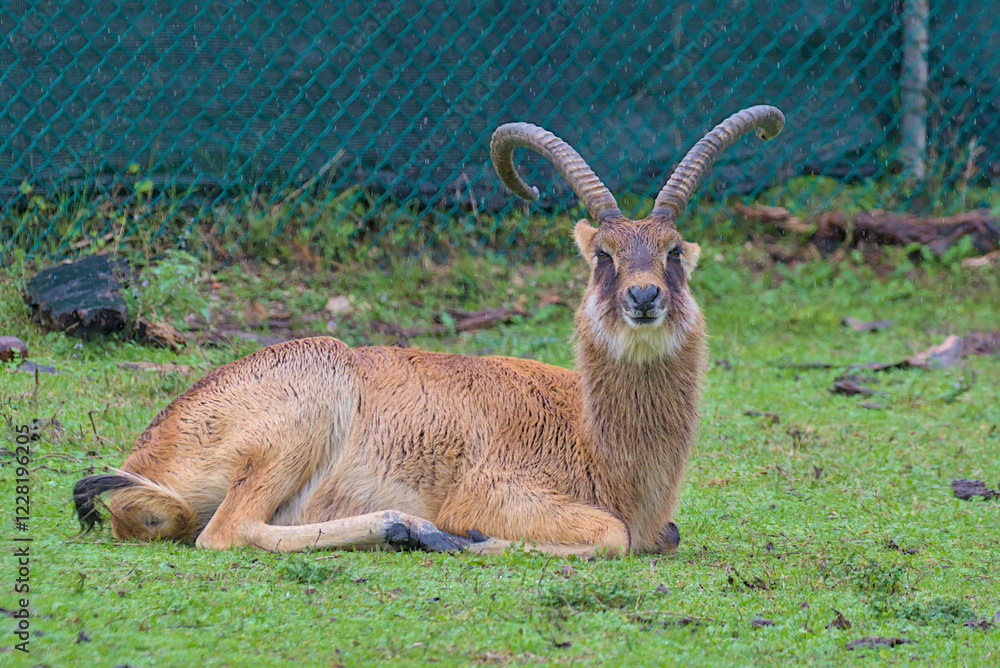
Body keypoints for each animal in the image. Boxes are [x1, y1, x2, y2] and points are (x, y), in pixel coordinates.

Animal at [74, 106, 784, 558]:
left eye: (672, 252)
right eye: (602, 255)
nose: (643, 296)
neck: (589, 430)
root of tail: (148, 453)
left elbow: (666, 534)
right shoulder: (498, 491)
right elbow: (609, 537)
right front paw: (469, 539)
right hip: (309, 410)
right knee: (224, 532)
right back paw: (415, 531)